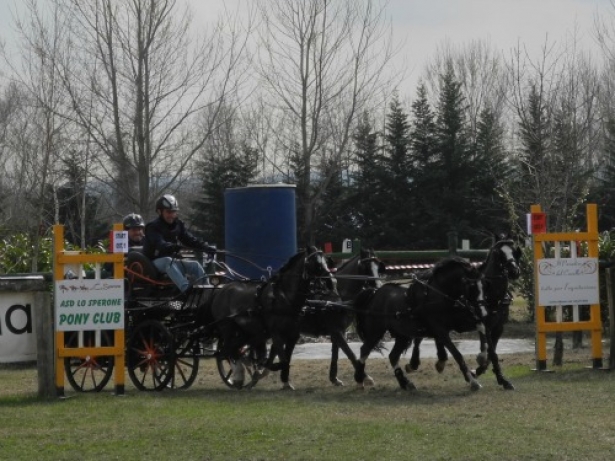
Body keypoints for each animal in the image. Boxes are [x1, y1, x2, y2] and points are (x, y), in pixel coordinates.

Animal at [211, 244, 336, 388]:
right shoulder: (276, 334)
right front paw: (266, 369)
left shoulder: (292, 336)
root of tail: (221, 290)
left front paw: (285, 381)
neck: (284, 297)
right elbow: (282, 360)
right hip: (227, 328)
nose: (331, 282)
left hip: (245, 332)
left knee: (235, 350)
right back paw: (238, 376)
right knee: (227, 352)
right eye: (316, 263)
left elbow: (284, 359)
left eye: (326, 262)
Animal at [354, 256, 498, 390]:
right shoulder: (441, 331)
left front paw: (482, 357)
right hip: (376, 331)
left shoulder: (457, 325)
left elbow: (481, 326)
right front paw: (473, 382)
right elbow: (457, 354)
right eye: (471, 287)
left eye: (485, 286)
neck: (440, 294)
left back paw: (405, 383)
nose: (483, 312)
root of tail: (375, 293)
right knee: (365, 350)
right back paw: (360, 379)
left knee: (393, 356)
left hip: (402, 335)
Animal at [406, 235, 524, 382]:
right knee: (420, 338)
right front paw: (480, 368)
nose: (514, 271)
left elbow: (492, 352)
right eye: (499, 254)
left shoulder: (498, 327)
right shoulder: (483, 323)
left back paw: (440, 360)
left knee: (434, 337)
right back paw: (414, 363)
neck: (493, 295)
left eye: (515, 251)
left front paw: (482, 370)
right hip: (427, 318)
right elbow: (489, 349)